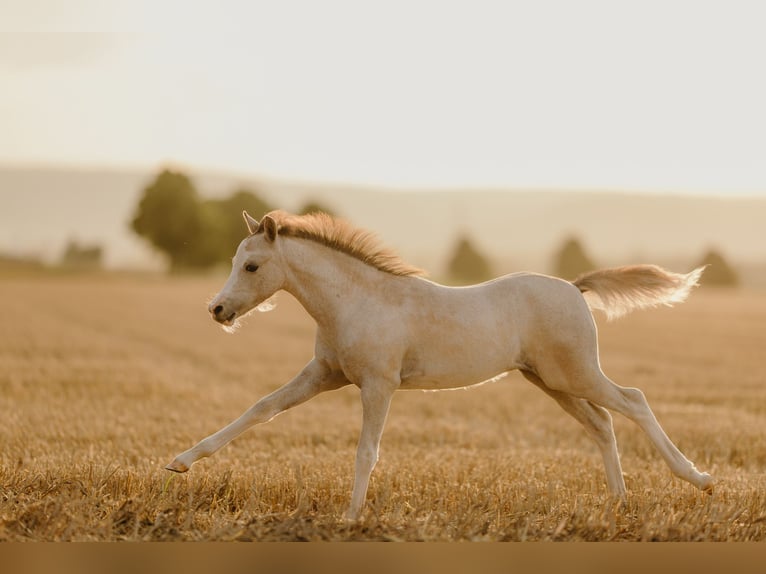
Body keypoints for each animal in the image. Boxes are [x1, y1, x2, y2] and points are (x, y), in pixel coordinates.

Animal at [166, 209, 713, 520]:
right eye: (236, 261)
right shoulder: (324, 375)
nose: (218, 310)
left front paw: (351, 516)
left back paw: (697, 479)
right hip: (550, 381)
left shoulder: (378, 385)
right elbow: (260, 409)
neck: (357, 301)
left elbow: (366, 451)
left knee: (633, 402)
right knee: (602, 425)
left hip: (574, 373)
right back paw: (619, 502)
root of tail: (575, 288)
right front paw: (180, 462)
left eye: (252, 265)